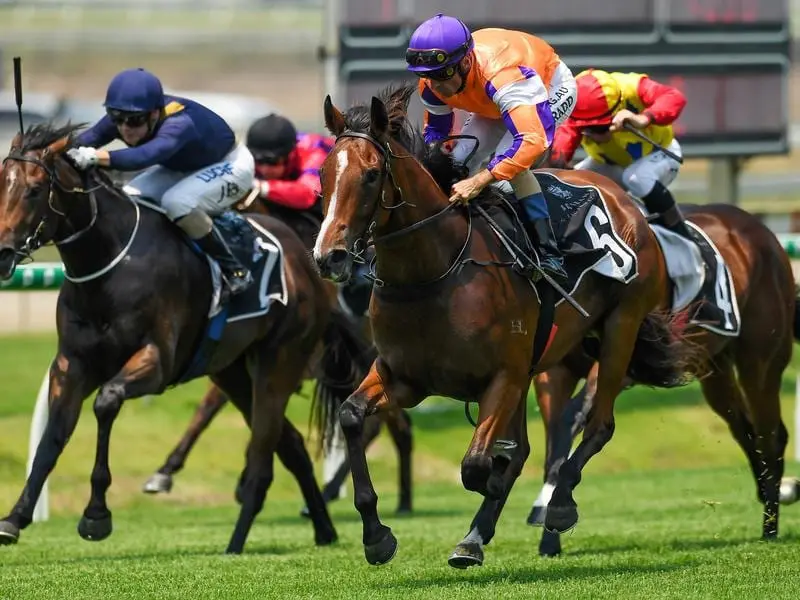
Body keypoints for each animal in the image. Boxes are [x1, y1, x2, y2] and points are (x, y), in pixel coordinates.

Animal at [0, 122, 342, 552]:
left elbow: (106, 403)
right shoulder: (71, 365)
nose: (2, 252)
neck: (111, 265)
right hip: (232, 373)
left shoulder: (156, 362)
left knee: (267, 451)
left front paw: (96, 515)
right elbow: (52, 438)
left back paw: (240, 540)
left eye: (32, 189)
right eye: (0, 183)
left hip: (278, 364)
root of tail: (305, 260)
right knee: (292, 445)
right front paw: (15, 518)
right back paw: (324, 529)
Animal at [143, 188, 416, 516]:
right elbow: (210, 412)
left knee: (385, 425)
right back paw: (396, 498)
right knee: (395, 426)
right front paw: (166, 472)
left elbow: (222, 410)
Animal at [312, 84, 708, 568]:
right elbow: (352, 416)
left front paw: (518, 499)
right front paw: (376, 535)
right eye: (324, 175)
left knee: (598, 425)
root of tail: (621, 197)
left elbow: (478, 465)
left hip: (621, 327)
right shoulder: (404, 378)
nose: (329, 257)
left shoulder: (503, 377)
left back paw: (557, 506)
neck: (434, 271)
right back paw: (475, 537)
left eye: (371, 175)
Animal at [528, 204, 796, 556]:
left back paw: (770, 527)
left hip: (760, 362)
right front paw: (548, 531)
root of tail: (761, 230)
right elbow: (555, 433)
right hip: (714, 370)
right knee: (745, 429)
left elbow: (573, 417)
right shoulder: (555, 369)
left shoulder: (621, 352)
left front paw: (553, 509)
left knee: (770, 434)